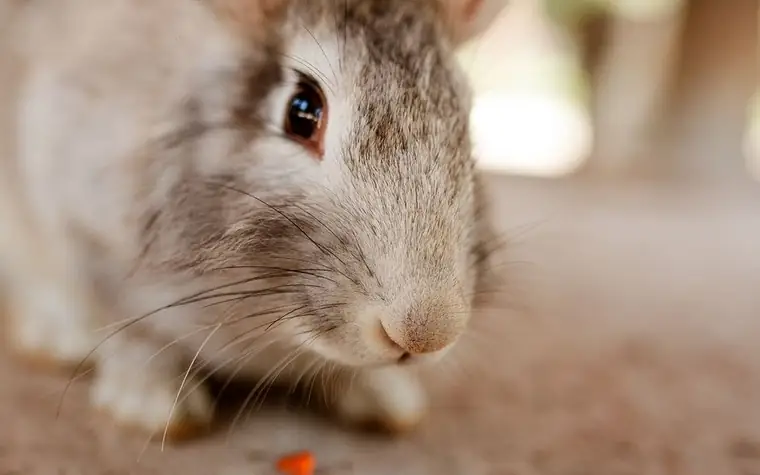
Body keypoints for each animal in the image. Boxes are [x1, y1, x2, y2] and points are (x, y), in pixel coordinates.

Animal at [0, 0, 505, 441]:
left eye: (465, 118)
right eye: (302, 110)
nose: (425, 333)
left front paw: (385, 399)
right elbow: (127, 330)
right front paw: (155, 406)